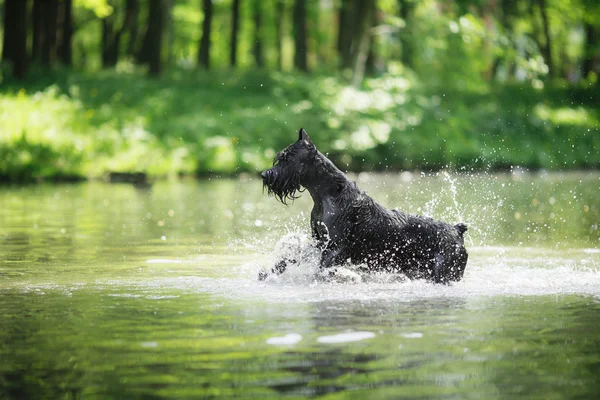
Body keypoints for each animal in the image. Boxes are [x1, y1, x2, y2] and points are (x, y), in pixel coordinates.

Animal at [258, 130, 468, 282]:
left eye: (287, 158)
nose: (264, 175)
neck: (328, 194)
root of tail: (457, 230)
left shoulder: (333, 249)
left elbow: (319, 268)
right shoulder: (318, 242)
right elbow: (294, 257)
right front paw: (272, 270)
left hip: (445, 272)